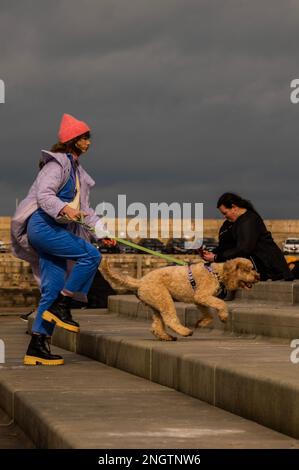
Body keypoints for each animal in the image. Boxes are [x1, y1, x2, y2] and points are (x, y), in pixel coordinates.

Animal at [101, 258, 260, 342]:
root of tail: (140, 282)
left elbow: (208, 314)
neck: (217, 273)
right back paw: (185, 332)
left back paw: (166, 337)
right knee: (170, 320)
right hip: (164, 299)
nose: (258, 276)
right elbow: (221, 303)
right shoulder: (202, 296)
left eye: (252, 268)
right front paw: (224, 316)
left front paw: (202, 322)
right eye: (247, 270)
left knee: (156, 325)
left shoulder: (199, 300)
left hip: (156, 305)